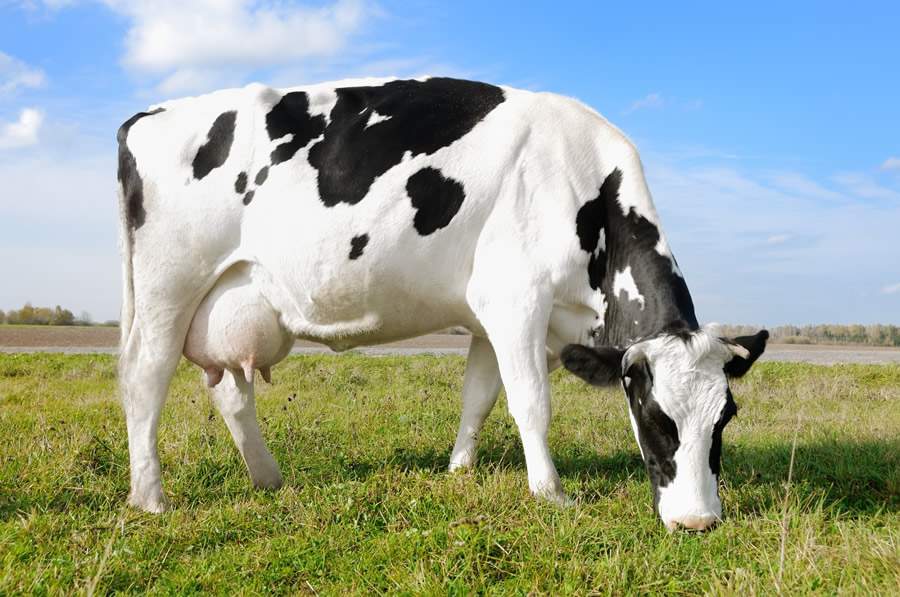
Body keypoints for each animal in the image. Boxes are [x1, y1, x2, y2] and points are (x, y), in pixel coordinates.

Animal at [117, 76, 768, 530]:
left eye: (725, 418)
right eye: (656, 416)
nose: (698, 521)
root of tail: (149, 115)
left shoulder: (488, 317)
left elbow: (479, 397)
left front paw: (459, 472)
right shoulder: (516, 300)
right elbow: (532, 404)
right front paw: (551, 494)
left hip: (232, 301)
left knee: (230, 391)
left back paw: (268, 479)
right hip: (168, 288)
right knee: (144, 379)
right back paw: (151, 499)